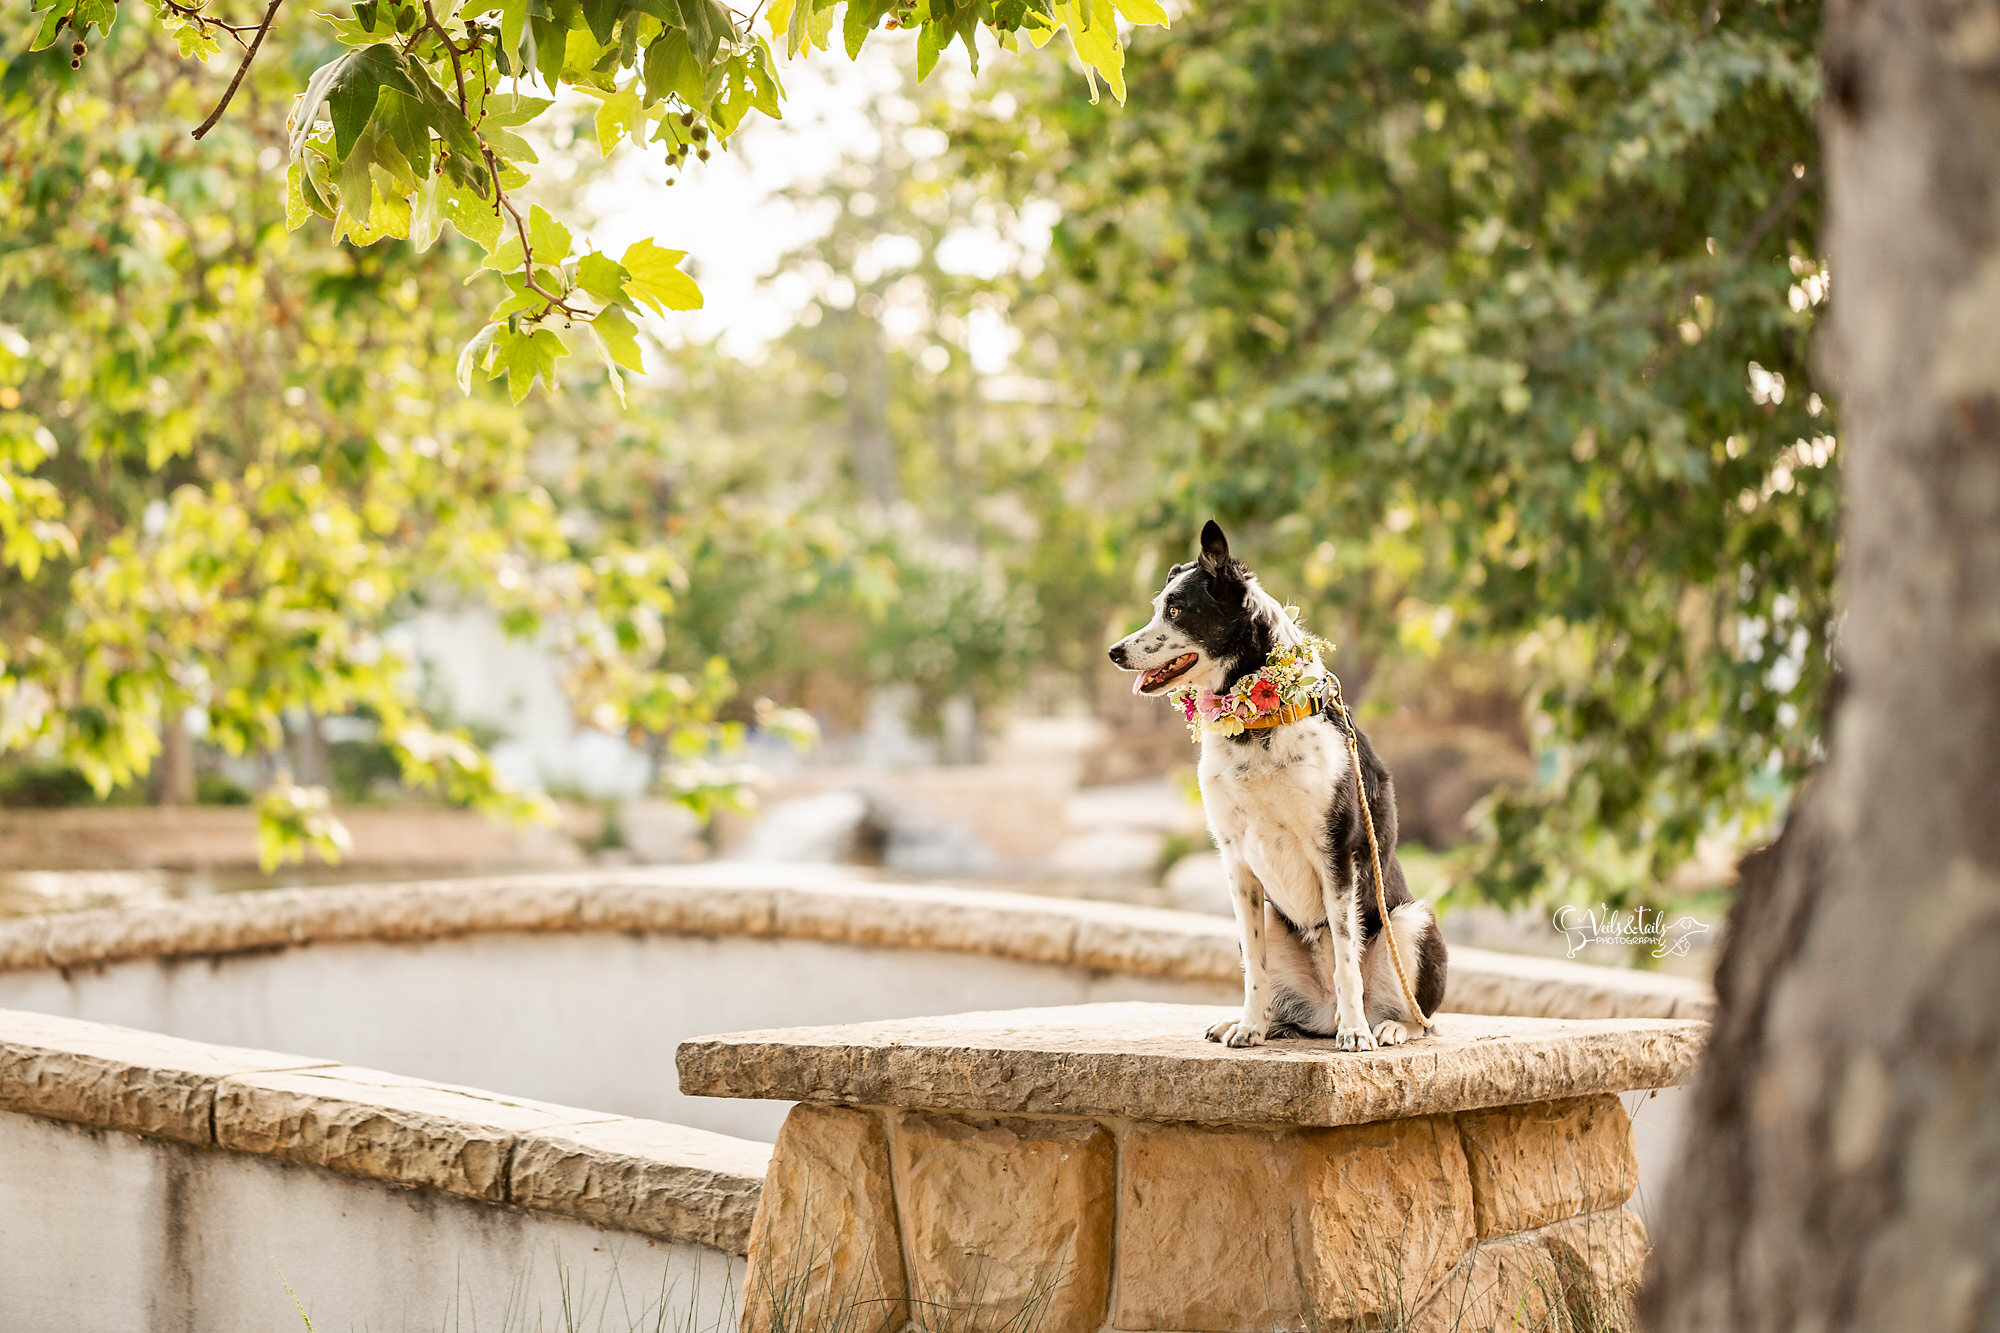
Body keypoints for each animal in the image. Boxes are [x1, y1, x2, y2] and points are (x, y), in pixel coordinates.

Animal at [1104, 520, 1448, 1048]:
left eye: (1177, 611)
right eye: (1157, 607)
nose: (1115, 652)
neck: (1258, 716)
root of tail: (1322, 1016)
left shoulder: (1337, 852)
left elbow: (1346, 960)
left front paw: (1356, 1034)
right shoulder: (1236, 860)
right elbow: (1255, 968)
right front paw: (1248, 1027)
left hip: (1411, 920)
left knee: (1417, 1016)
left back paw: (1379, 1026)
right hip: (1273, 916)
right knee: (1279, 993)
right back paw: (1264, 1023)